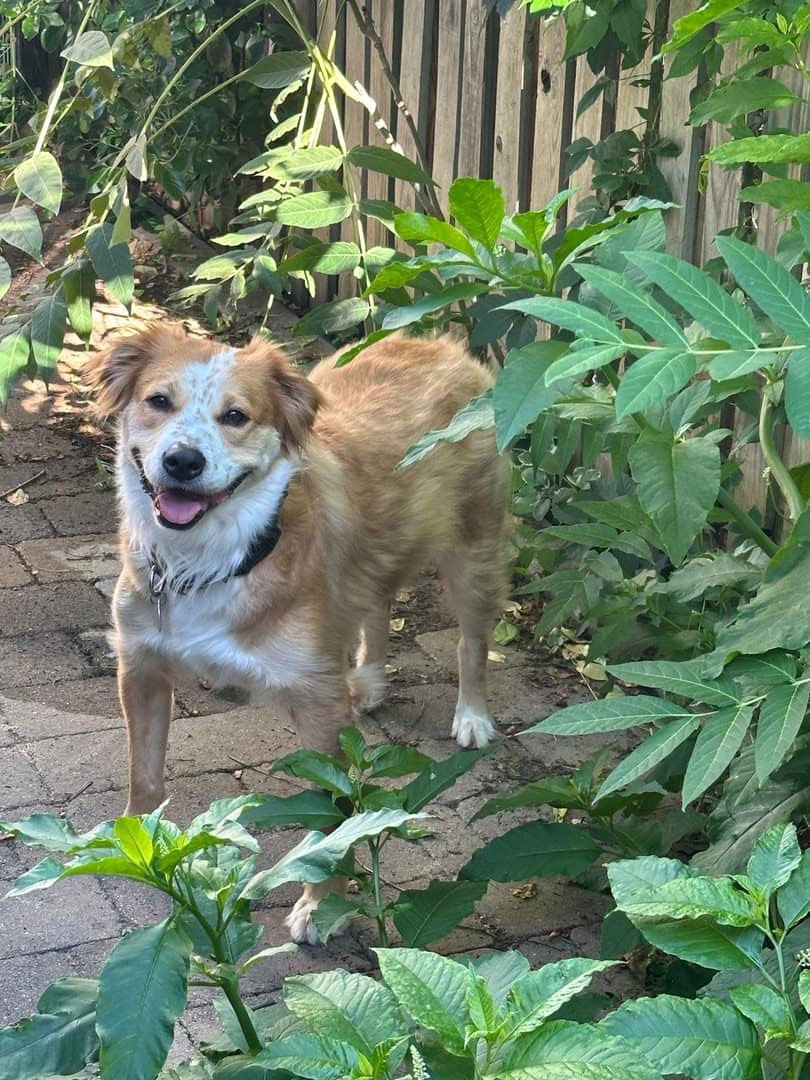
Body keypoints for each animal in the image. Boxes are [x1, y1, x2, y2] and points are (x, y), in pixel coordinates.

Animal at [85, 324, 509, 941]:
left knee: (471, 641)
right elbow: (144, 775)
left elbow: (331, 823)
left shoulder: (317, 702)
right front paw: (137, 845)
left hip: (473, 552)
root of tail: (436, 343)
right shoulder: (141, 667)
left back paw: (472, 716)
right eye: (158, 401)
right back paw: (369, 682)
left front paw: (318, 907)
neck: (214, 556)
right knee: (375, 600)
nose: (182, 461)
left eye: (235, 416)